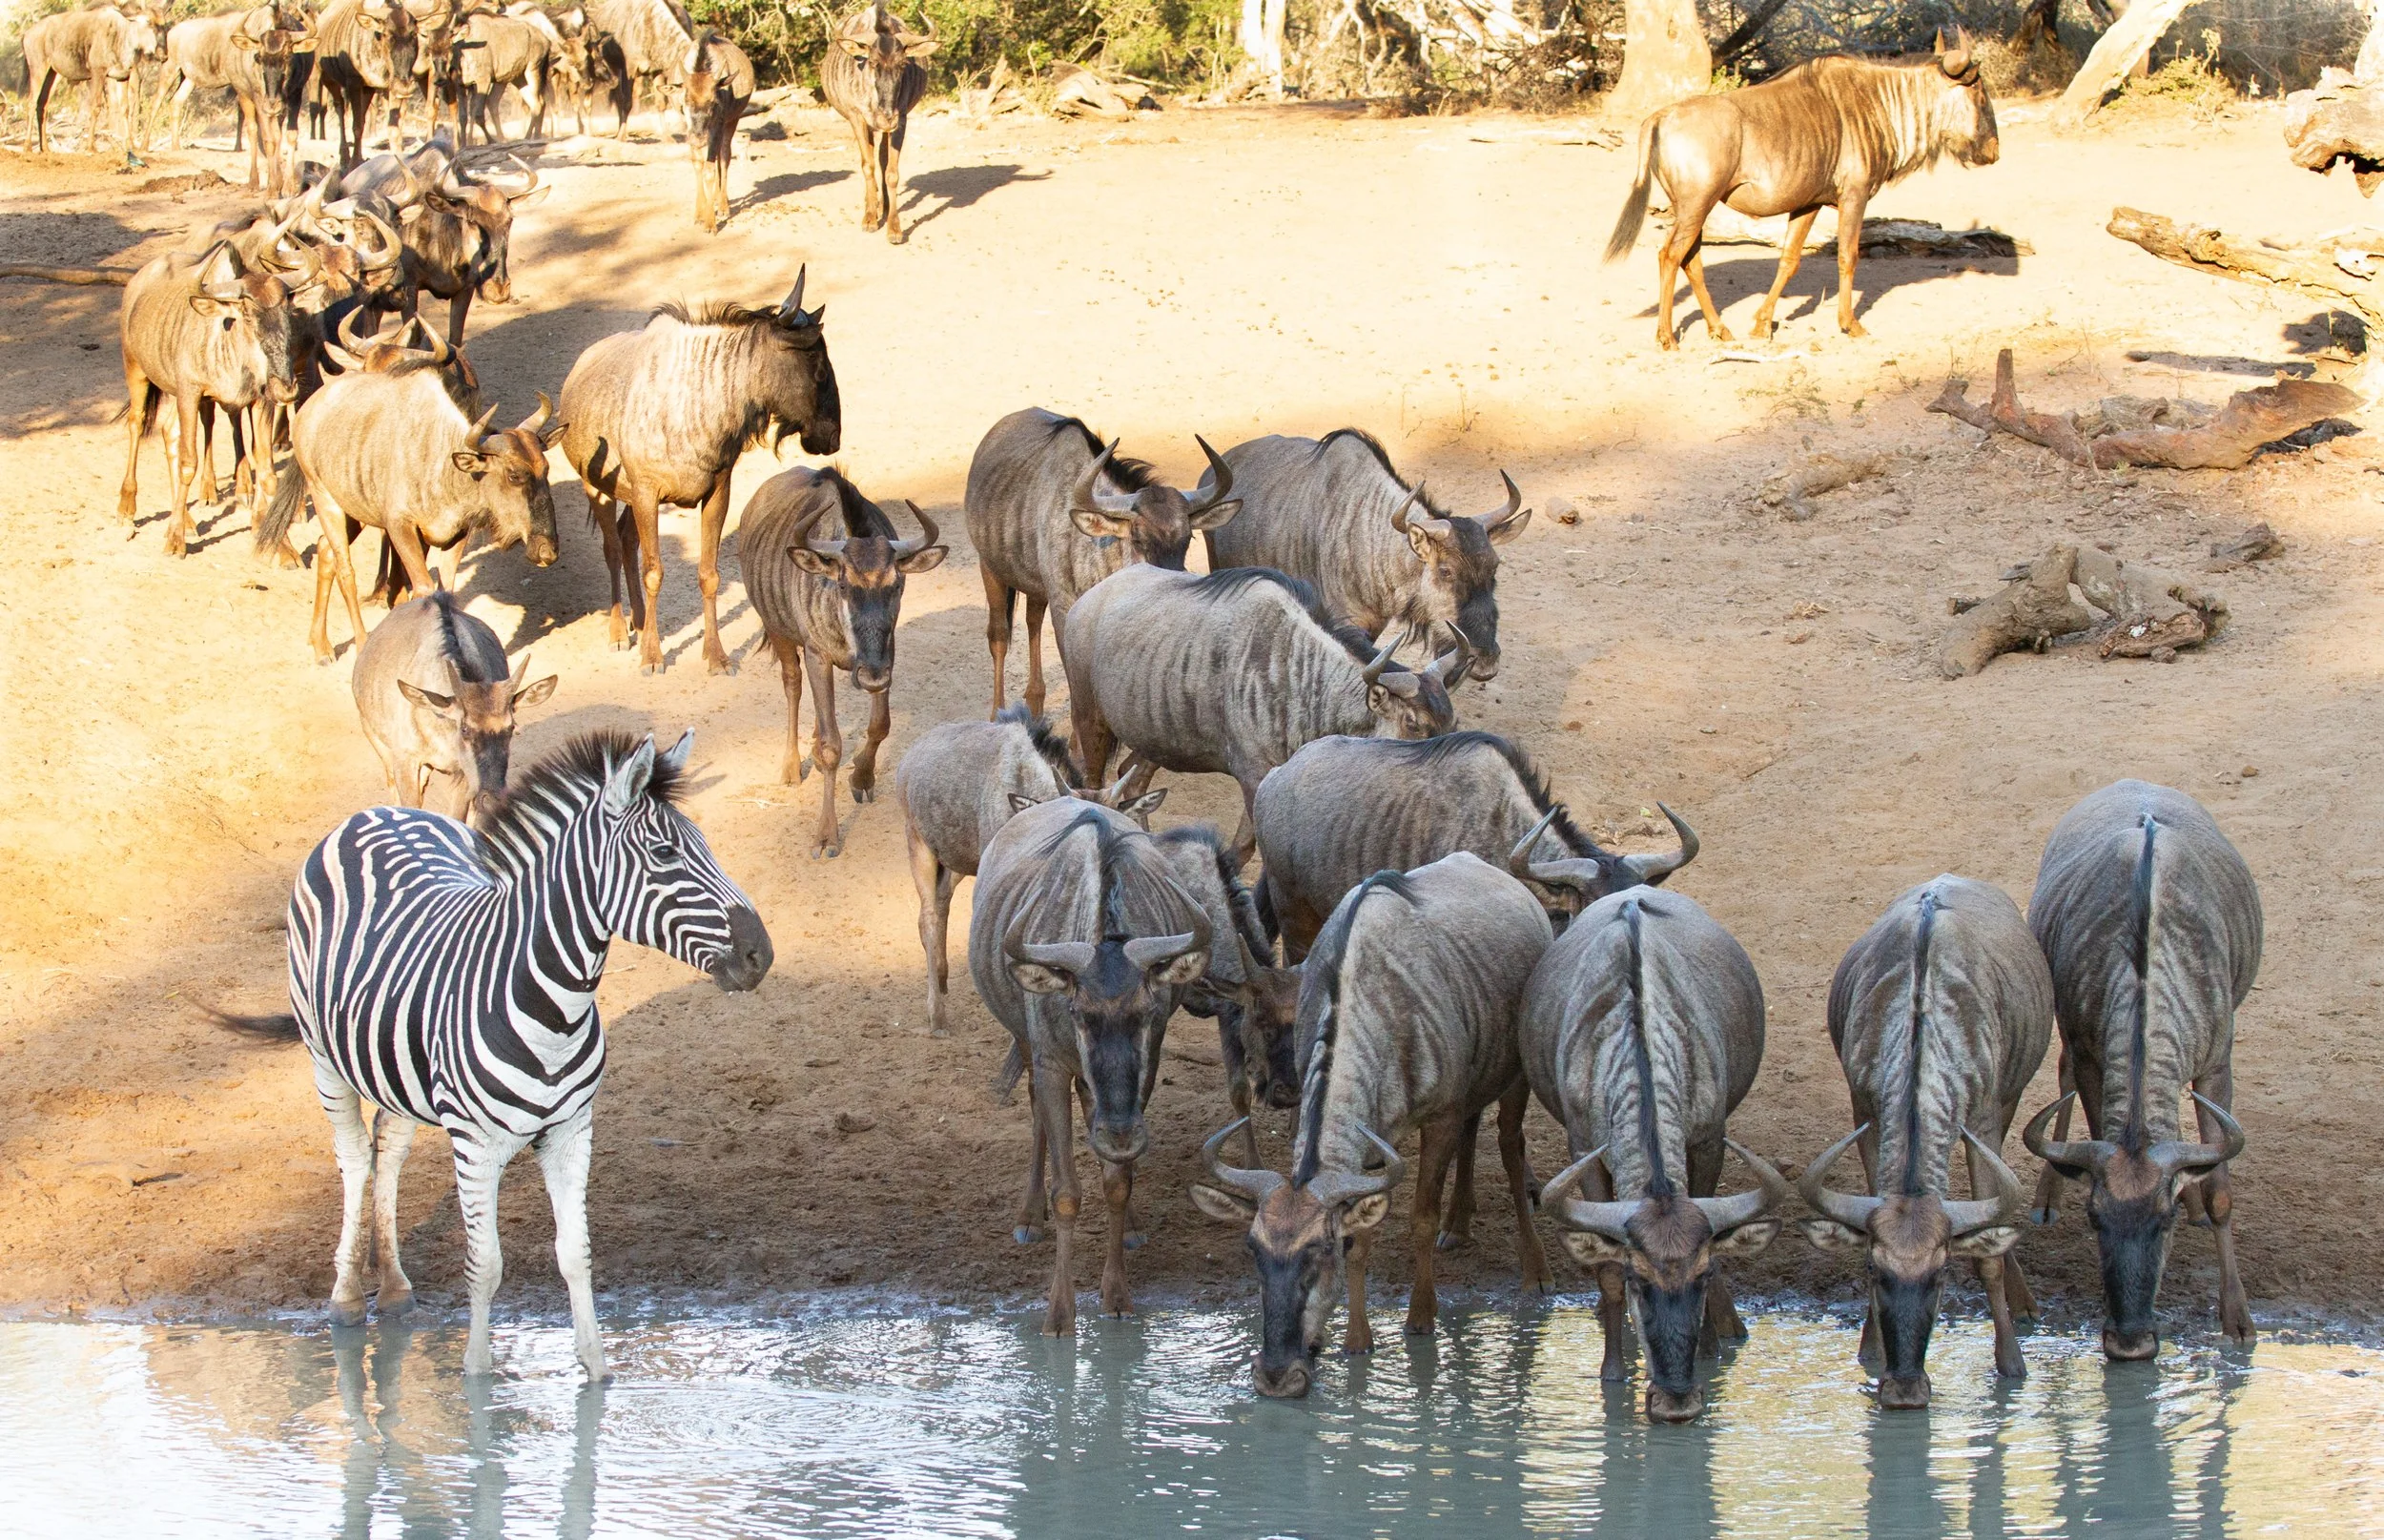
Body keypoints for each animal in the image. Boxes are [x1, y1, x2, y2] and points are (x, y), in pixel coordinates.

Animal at [217, 728, 772, 1379]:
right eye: (664, 855)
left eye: (705, 845)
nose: (761, 954)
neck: (554, 1009)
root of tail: (375, 811)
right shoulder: (475, 1145)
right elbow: (485, 1267)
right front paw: (479, 1380)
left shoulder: (570, 1132)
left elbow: (576, 1254)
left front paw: (596, 1374)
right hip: (323, 1055)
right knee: (354, 1158)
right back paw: (349, 1296)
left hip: (398, 1070)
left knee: (390, 1149)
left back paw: (395, 1288)